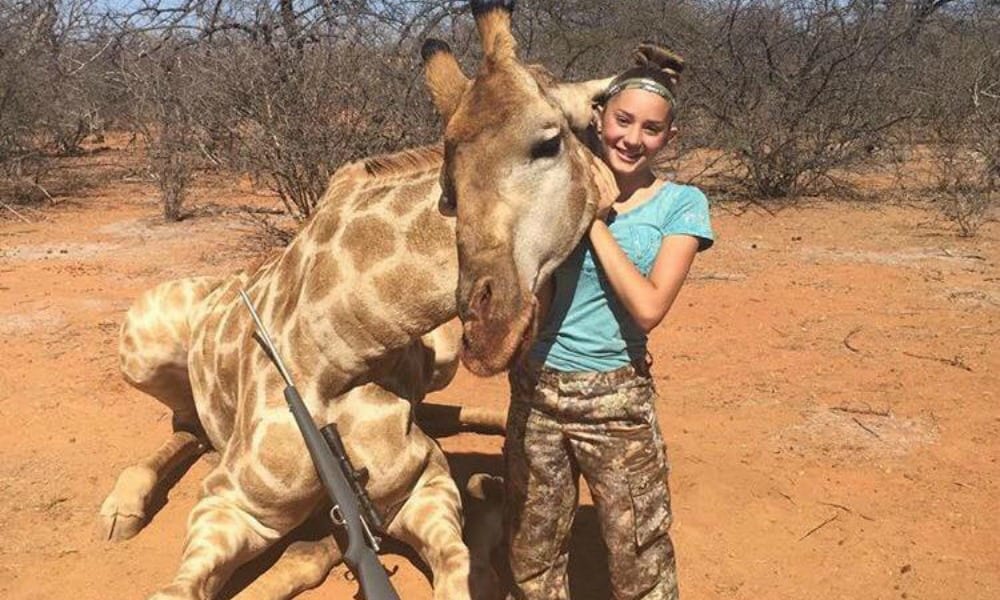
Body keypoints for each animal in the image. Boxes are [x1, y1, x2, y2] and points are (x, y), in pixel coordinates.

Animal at [97, 2, 620, 596]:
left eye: (549, 142)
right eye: (449, 182)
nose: (488, 328)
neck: (342, 346)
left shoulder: (422, 486)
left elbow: (456, 565)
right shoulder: (230, 502)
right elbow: (180, 585)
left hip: (441, 358)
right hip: (140, 345)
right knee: (184, 427)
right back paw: (122, 508)